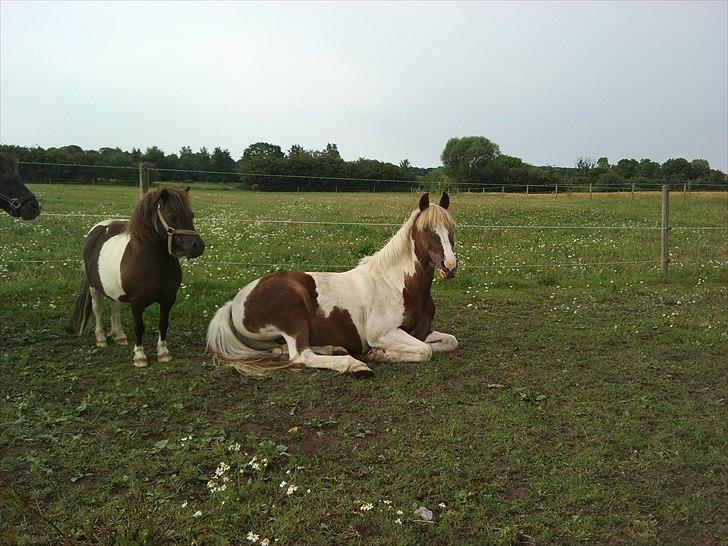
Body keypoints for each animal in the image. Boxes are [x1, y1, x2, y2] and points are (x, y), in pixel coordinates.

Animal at [71, 187, 205, 366]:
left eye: (191, 215)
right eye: (171, 215)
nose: (198, 247)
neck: (153, 263)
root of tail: (96, 230)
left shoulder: (168, 299)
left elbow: (163, 324)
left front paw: (163, 352)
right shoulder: (137, 302)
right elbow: (139, 327)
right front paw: (140, 356)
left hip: (114, 289)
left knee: (115, 306)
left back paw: (119, 336)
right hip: (94, 287)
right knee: (97, 309)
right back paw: (101, 339)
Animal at [206, 193, 456, 376]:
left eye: (451, 229)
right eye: (426, 229)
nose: (450, 266)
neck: (398, 285)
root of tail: (235, 301)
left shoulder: (421, 332)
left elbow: (449, 342)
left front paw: (381, 353)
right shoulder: (382, 333)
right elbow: (425, 351)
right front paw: (380, 354)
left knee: (284, 350)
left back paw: (333, 348)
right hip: (293, 313)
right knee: (301, 355)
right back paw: (354, 365)